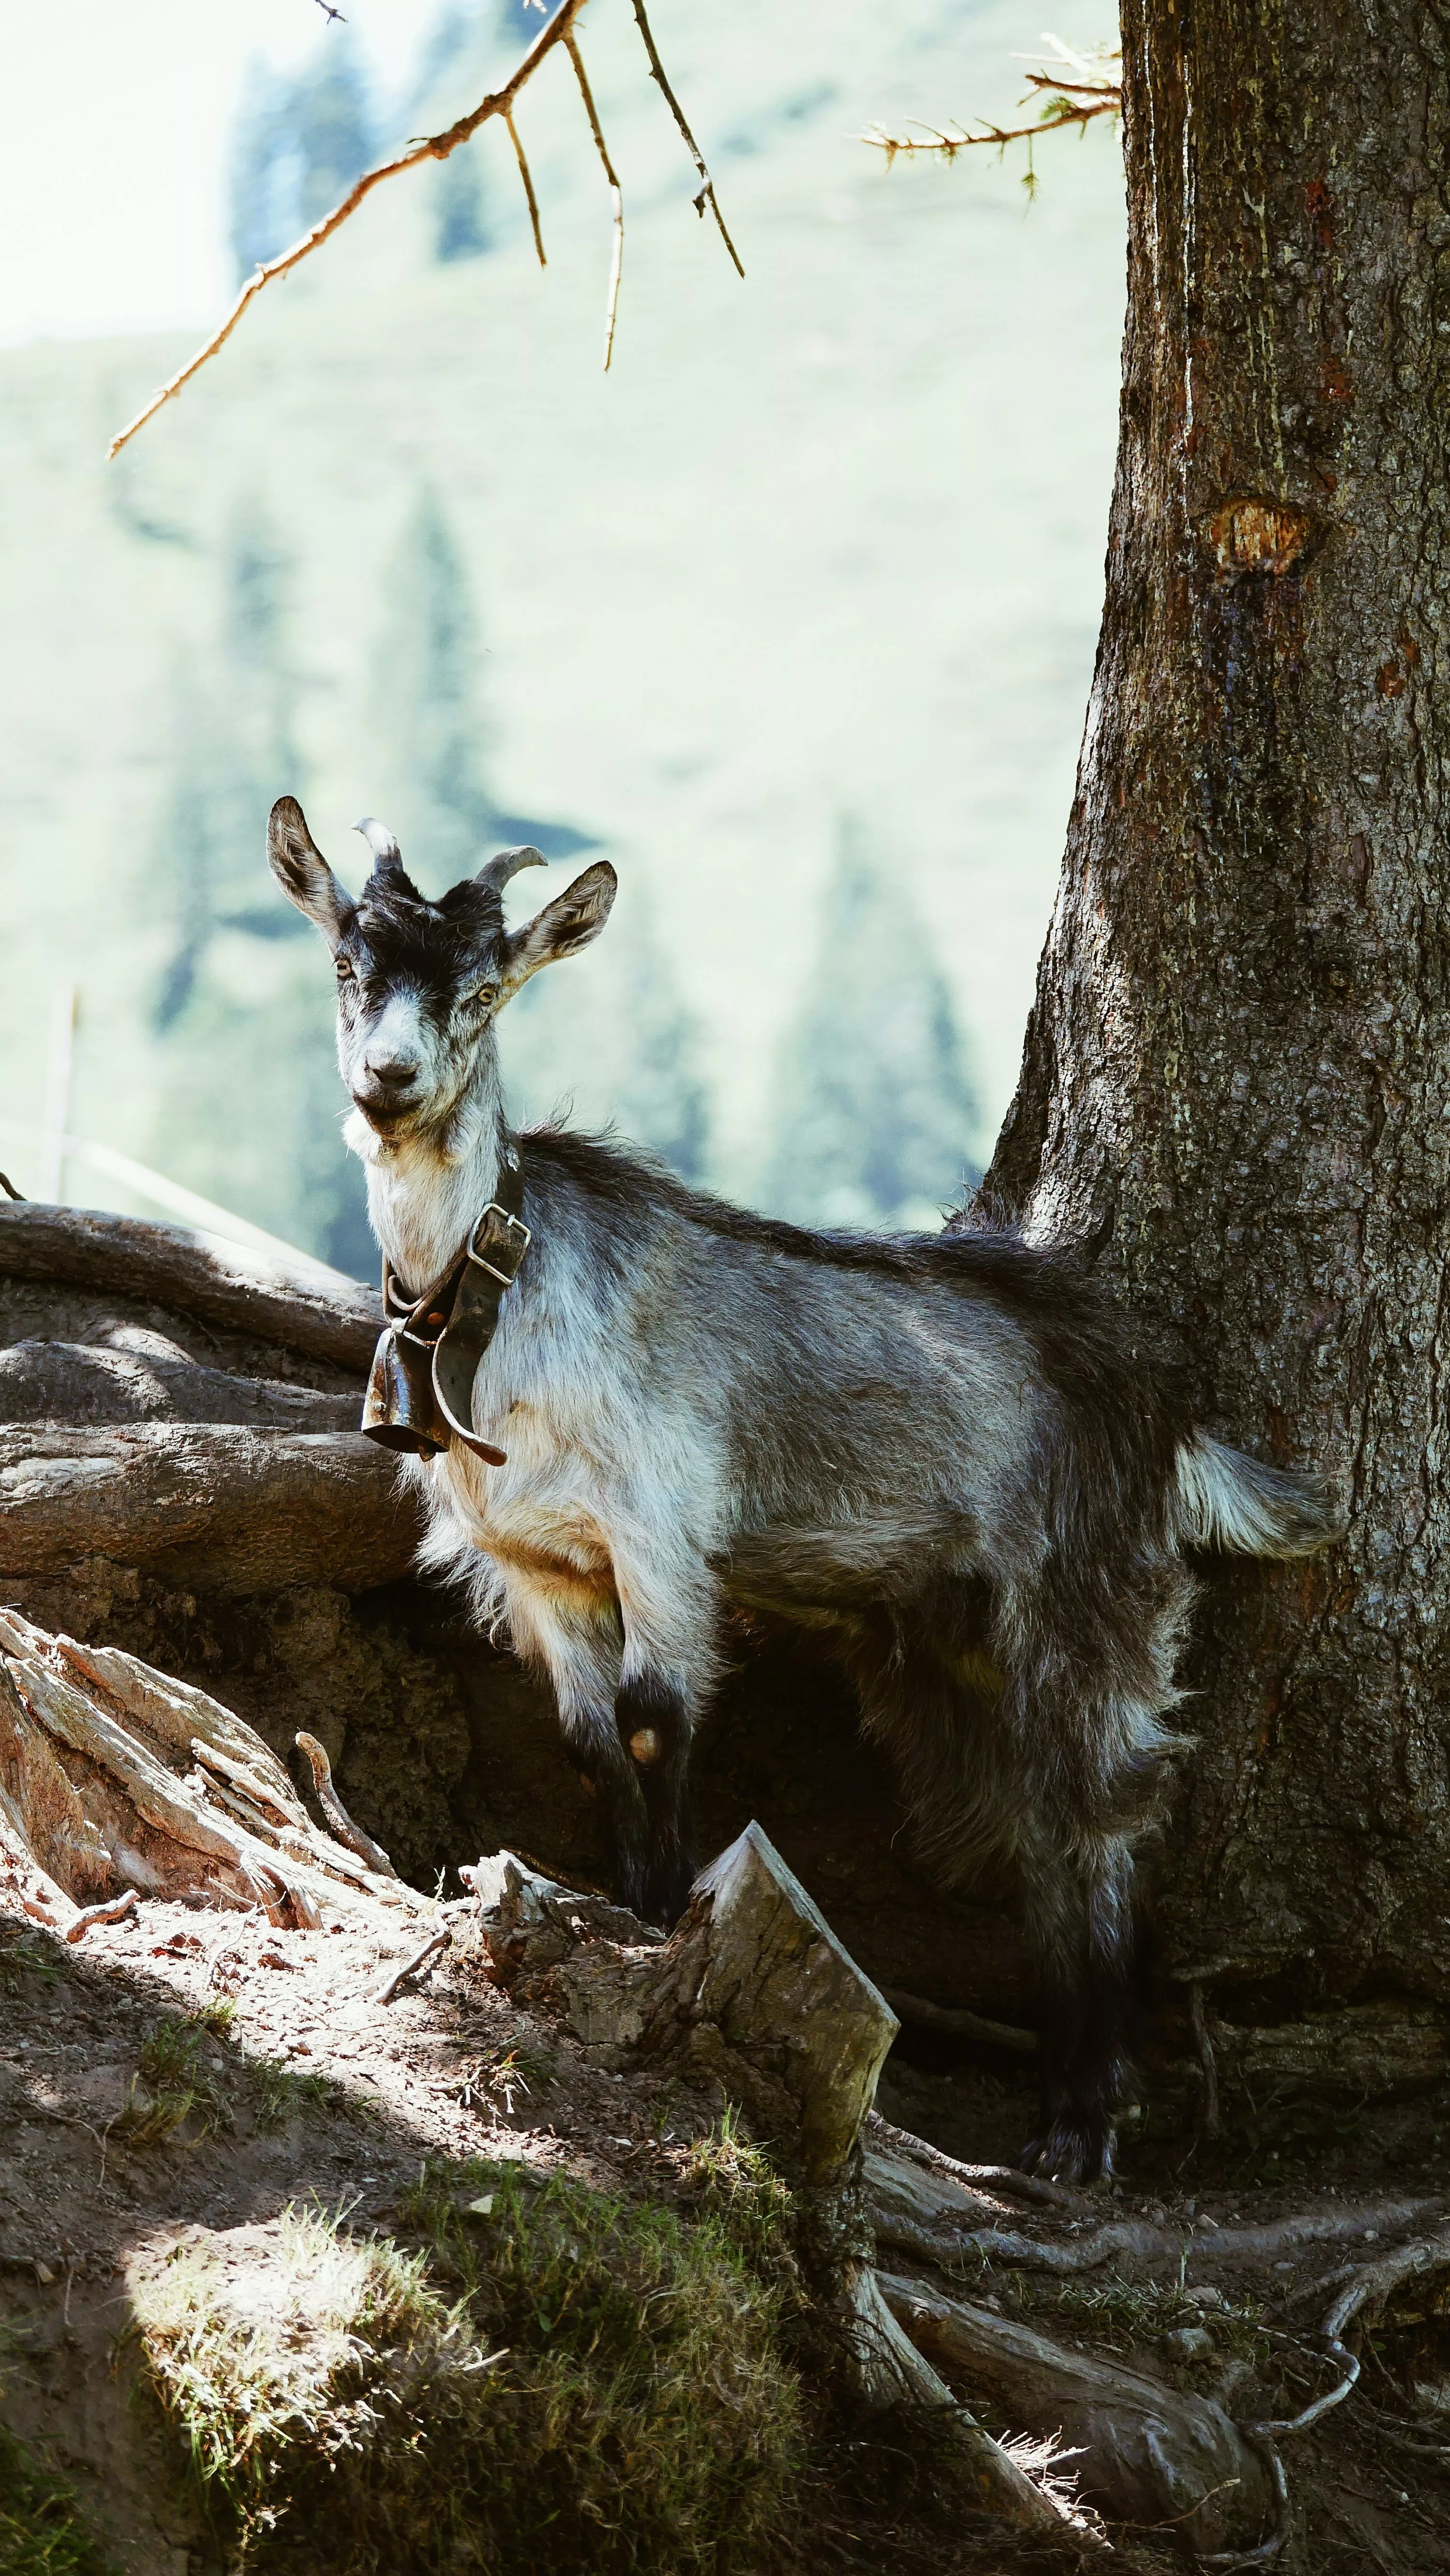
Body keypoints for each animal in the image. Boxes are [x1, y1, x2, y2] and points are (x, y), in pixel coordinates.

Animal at [267, 795, 1339, 2181]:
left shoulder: (661, 1528)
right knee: (1029, 1817)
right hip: (953, 1630)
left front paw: (665, 1916)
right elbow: (586, 1740)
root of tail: (1167, 1414)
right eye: (349, 965)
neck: (502, 1291)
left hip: (1092, 1585)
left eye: (483, 989)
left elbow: (656, 1715)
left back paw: (1082, 2122)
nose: (387, 1081)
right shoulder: (535, 1560)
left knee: (1097, 1808)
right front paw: (627, 1902)